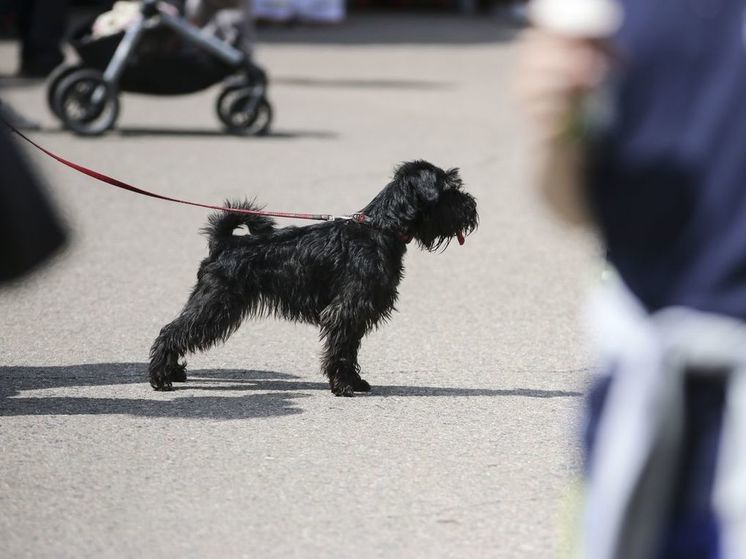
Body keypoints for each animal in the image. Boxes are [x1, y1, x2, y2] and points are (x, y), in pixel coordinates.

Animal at [148, 160, 480, 396]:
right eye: (450, 189)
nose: (473, 206)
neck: (381, 228)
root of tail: (224, 243)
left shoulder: (355, 313)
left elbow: (349, 348)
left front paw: (354, 382)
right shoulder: (346, 310)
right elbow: (341, 349)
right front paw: (343, 386)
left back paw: (173, 372)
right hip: (216, 303)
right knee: (171, 331)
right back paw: (160, 378)